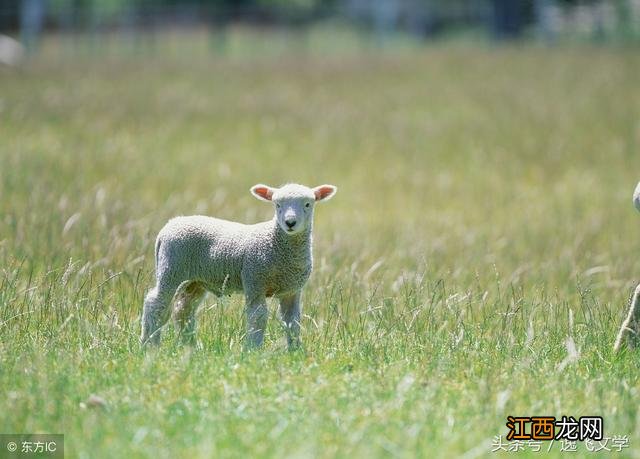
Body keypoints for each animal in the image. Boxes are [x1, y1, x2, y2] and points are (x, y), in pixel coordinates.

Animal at [138, 181, 338, 350]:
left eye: (308, 204)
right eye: (277, 205)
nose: (290, 223)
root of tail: (169, 225)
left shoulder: (292, 290)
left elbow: (293, 321)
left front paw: (295, 350)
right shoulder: (254, 280)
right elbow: (258, 317)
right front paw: (253, 349)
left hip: (194, 280)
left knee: (183, 309)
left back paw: (190, 346)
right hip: (171, 268)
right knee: (155, 303)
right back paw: (149, 345)